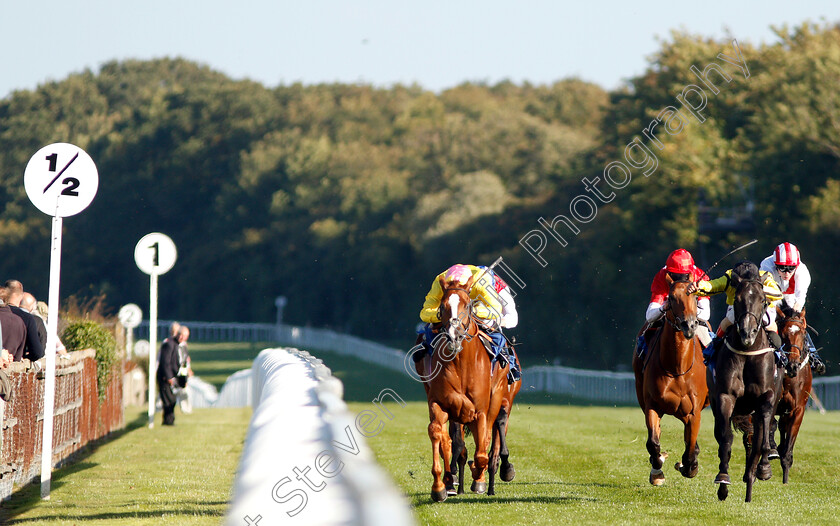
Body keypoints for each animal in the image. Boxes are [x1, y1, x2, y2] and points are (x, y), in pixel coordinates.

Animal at [420, 276, 506, 504]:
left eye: (468, 305)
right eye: (442, 306)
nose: (454, 336)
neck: (461, 363)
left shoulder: (481, 410)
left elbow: (481, 453)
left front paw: (478, 475)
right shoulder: (439, 403)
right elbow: (438, 433)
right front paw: (439, 487)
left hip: (497, 397)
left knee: (488, 437)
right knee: (448, 439)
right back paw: (451, 481)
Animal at [632, 276, 704, 486]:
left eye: (696, 295)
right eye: (671, 297)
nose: (689, 325)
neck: (677, 368)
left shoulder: (694, 412)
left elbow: (690, 450)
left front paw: (688, 466)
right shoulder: (652, 405)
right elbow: (653, 443)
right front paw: (657, 471)